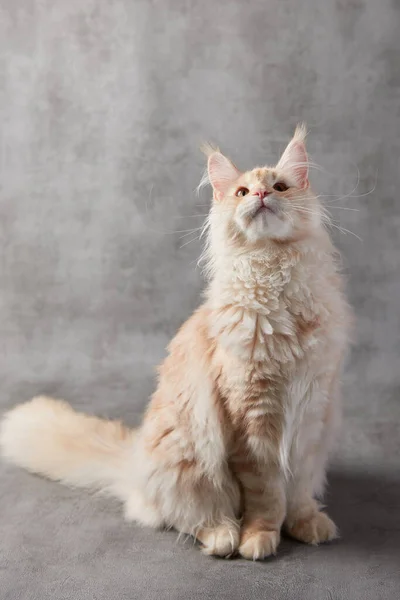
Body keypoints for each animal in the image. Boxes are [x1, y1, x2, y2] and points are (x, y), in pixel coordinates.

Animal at [0, 124, 350, 560]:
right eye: (241, 192)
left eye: (280, 187)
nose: (260, 195)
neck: (275, 277)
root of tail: (134, 463)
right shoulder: (252, 418)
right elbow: (267, 494)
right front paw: (259, 537)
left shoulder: (311, 414)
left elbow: (299, 488)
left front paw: (304, 523)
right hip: (188, 459)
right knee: (186, 515)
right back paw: (223, 536)